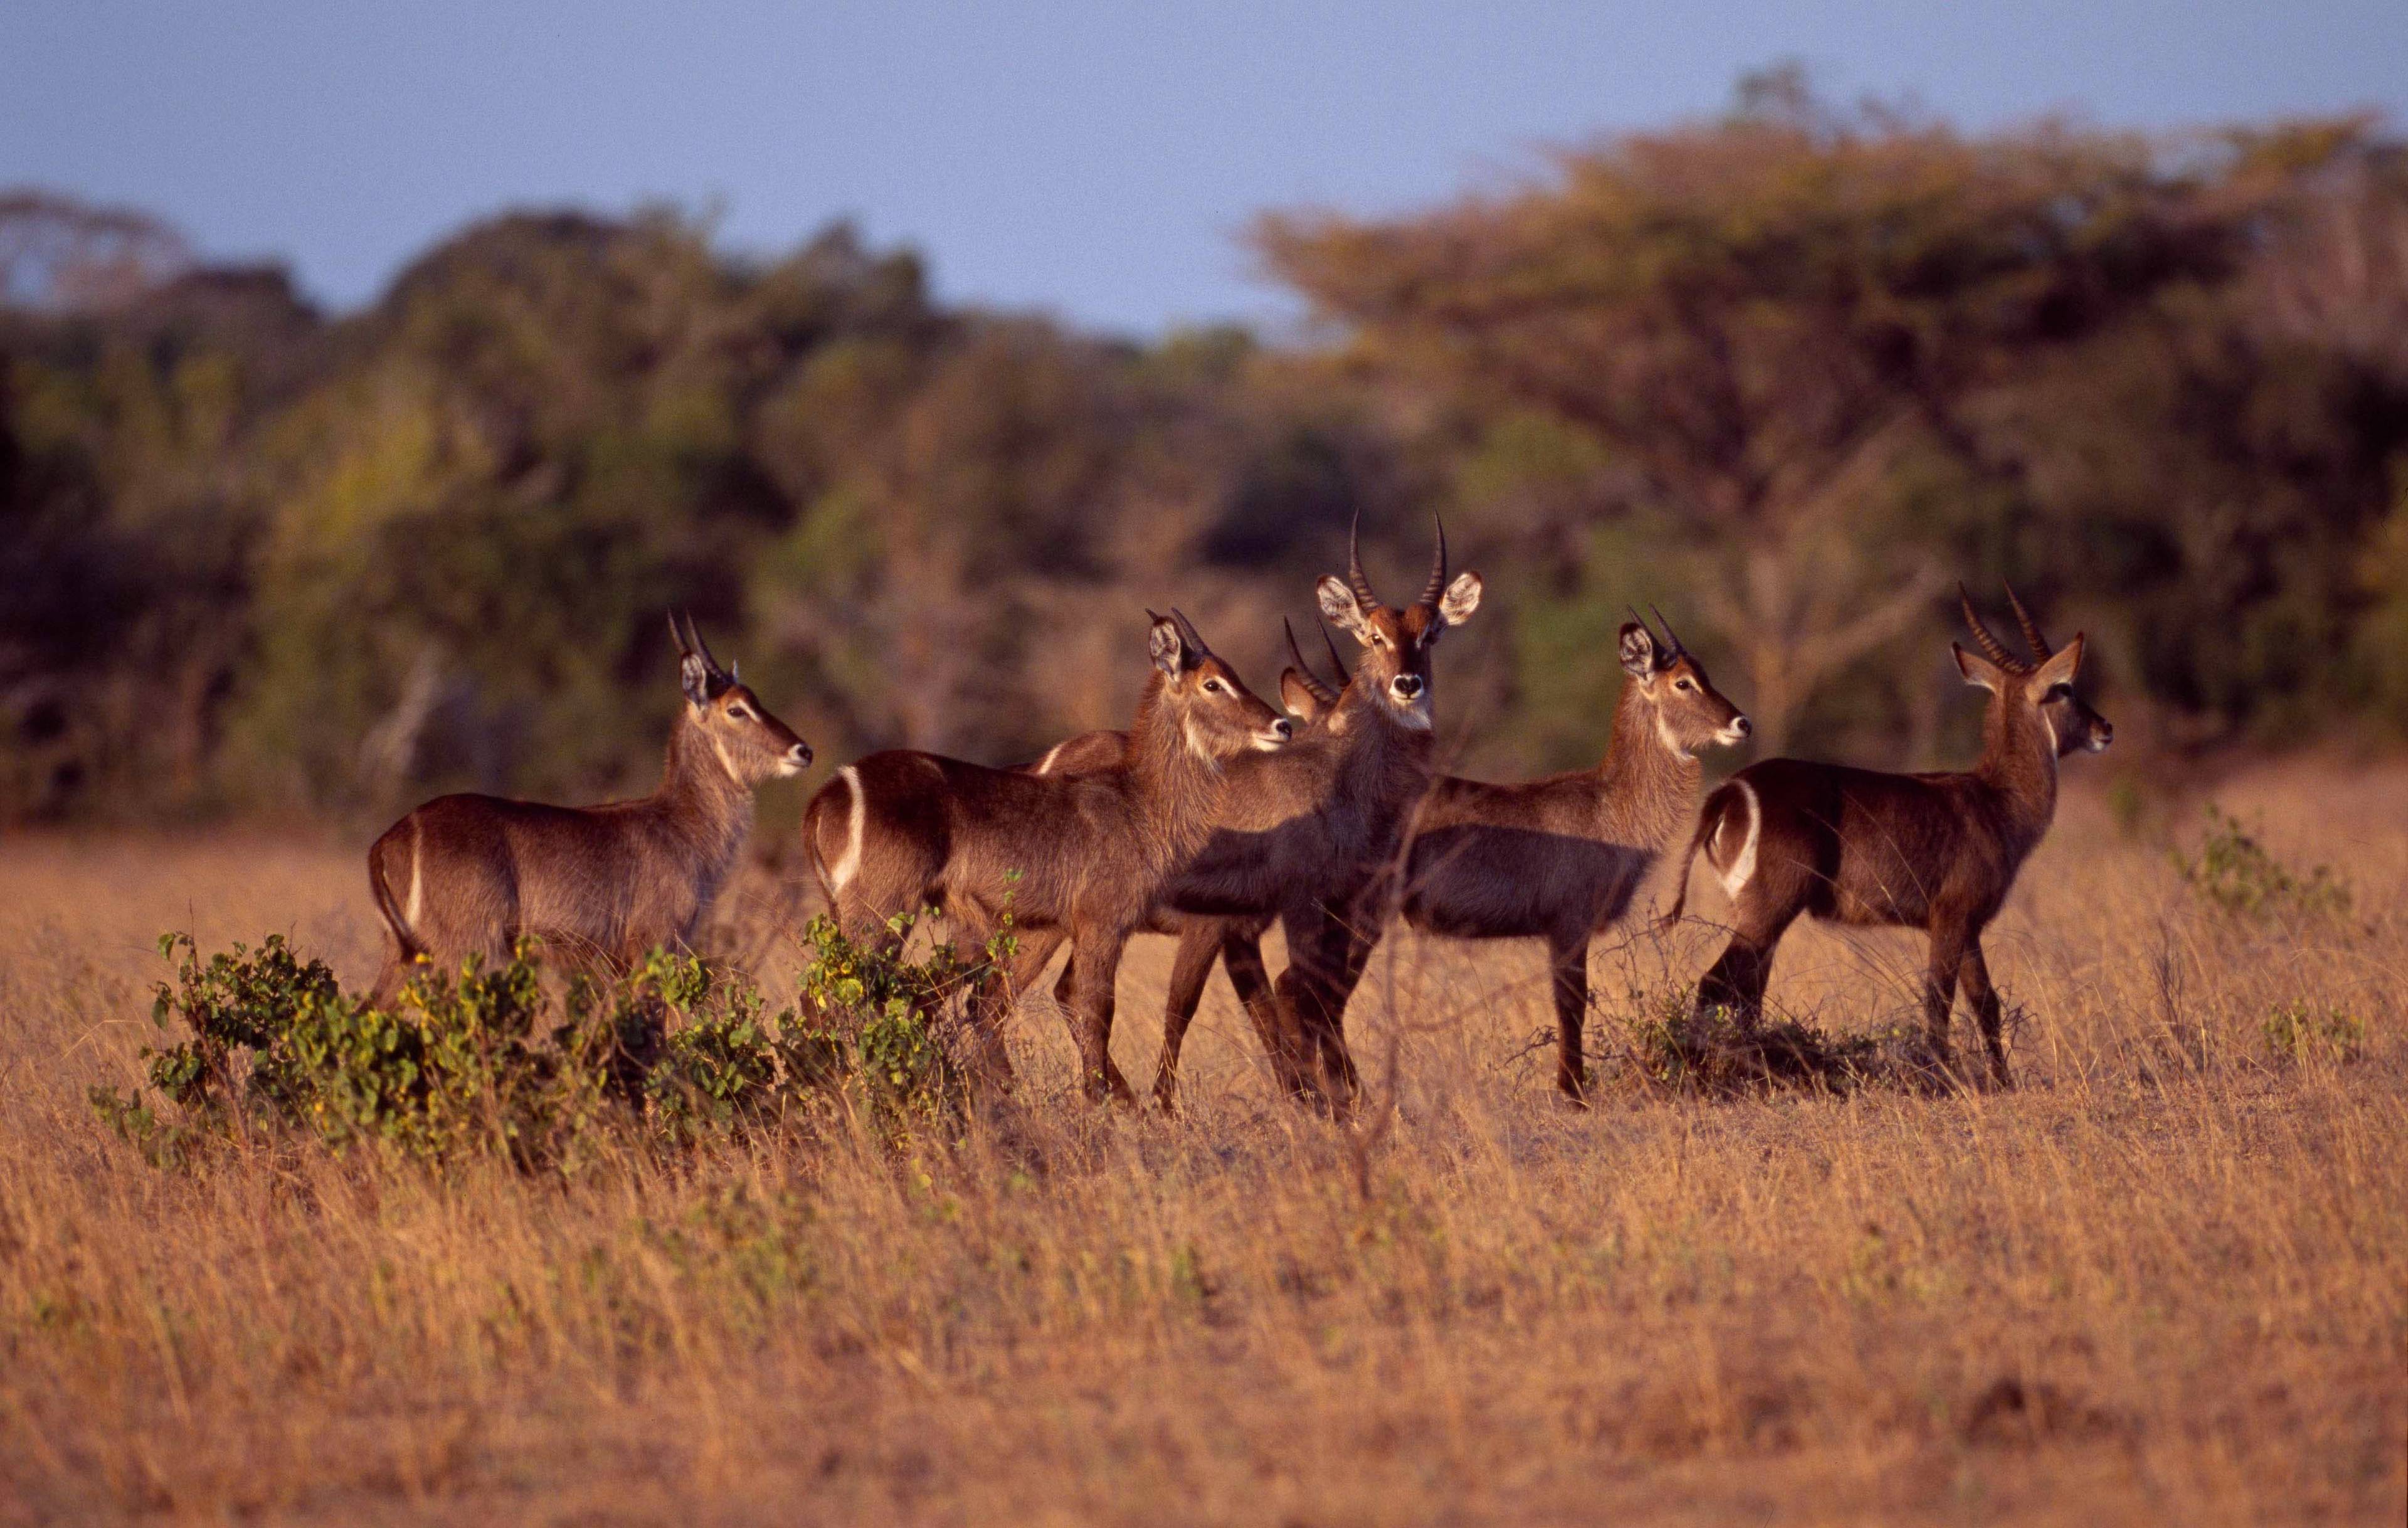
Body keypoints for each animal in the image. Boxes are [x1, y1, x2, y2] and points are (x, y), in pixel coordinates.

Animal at [366, 621, 813, 1006]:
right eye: (736, 709)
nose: (803, 751)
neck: (680, 824)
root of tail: (390, 839)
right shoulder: (654, 945)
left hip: (405, 955)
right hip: (463, 951)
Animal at [804, 606, 1300, 1102]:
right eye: (1212, 683)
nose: (1282, 725)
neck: (1141, 804)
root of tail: (826, 796)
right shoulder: (1105, 924)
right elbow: (1099, 1014)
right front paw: (1100, 1104)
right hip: (883, 910)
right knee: (835, 997)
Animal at [1666, 584, 2119, 1087]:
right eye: (2064, 688)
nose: (2105, 728)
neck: (1997, 799)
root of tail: (1729, 790)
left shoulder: (1970, 926)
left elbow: (1986, 1003)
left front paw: (2002, 1082)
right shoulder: (1952, 916)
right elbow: (1939, 1000)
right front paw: (1940, 1076)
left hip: (1754, 912)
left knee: (1748, 996)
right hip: (1772, 907)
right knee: (1716, 984)